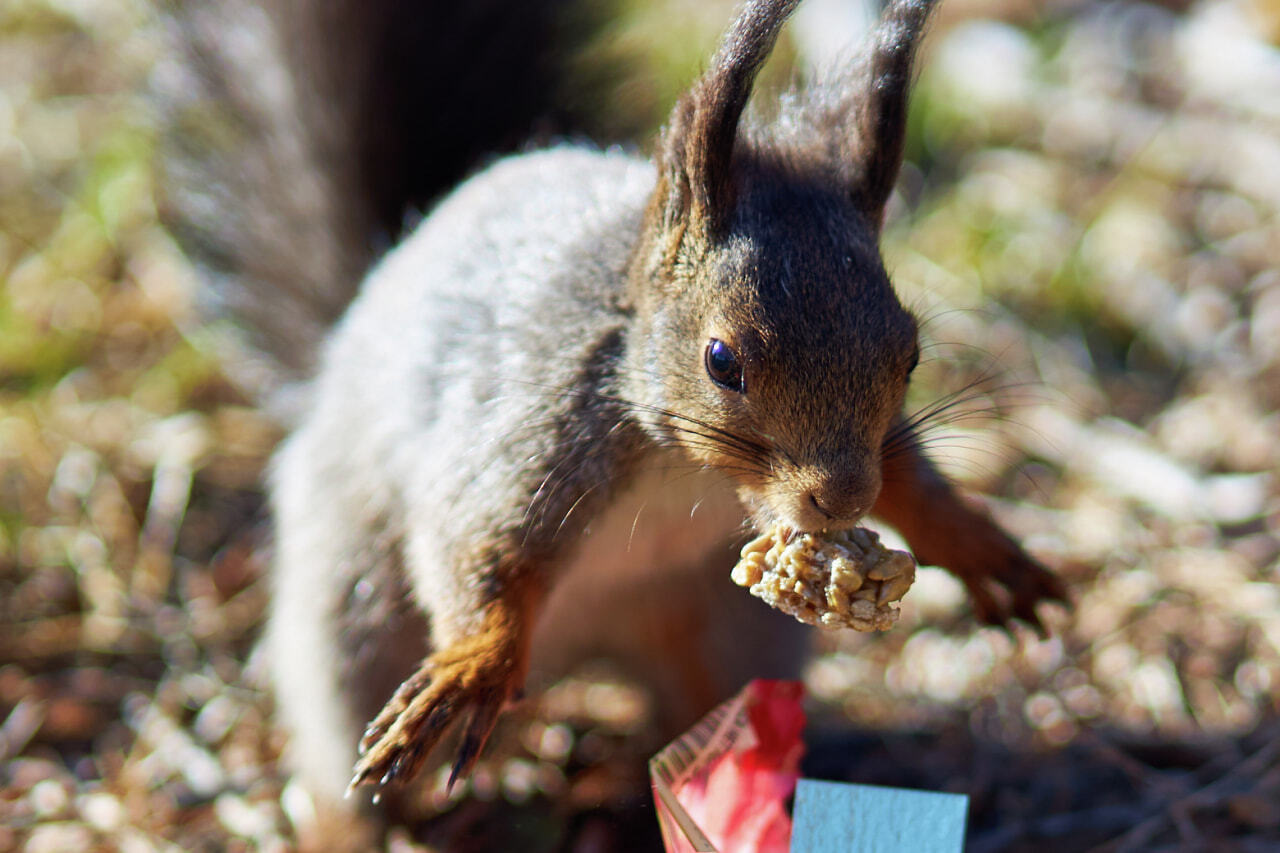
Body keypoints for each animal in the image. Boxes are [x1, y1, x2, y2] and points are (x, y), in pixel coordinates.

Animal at [165, 0, 1075, 829]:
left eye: (910, 353)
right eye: (722, 360)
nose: (844, 499)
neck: (684, 462)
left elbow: (910, 474)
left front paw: (979, 545)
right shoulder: (531, 428)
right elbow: (479, 547)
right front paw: (476, 664)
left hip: (725, 642)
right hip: (352, 624)